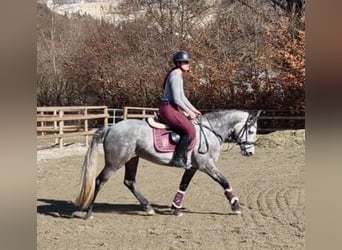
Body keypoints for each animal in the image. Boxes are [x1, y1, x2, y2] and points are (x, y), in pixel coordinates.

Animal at [75, 108, 262, 218]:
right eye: (252, 130)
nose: (250, 152)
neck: (211, 132)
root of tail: (111, 128)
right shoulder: (206, 165)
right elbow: (224, 181)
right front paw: (235, 205)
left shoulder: (193, 167)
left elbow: (183, 185)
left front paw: (176, 208)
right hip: (115, 162)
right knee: (100, 181)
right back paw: (89, 212)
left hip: (132, 159)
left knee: (129, 181)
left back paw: (148, 207)